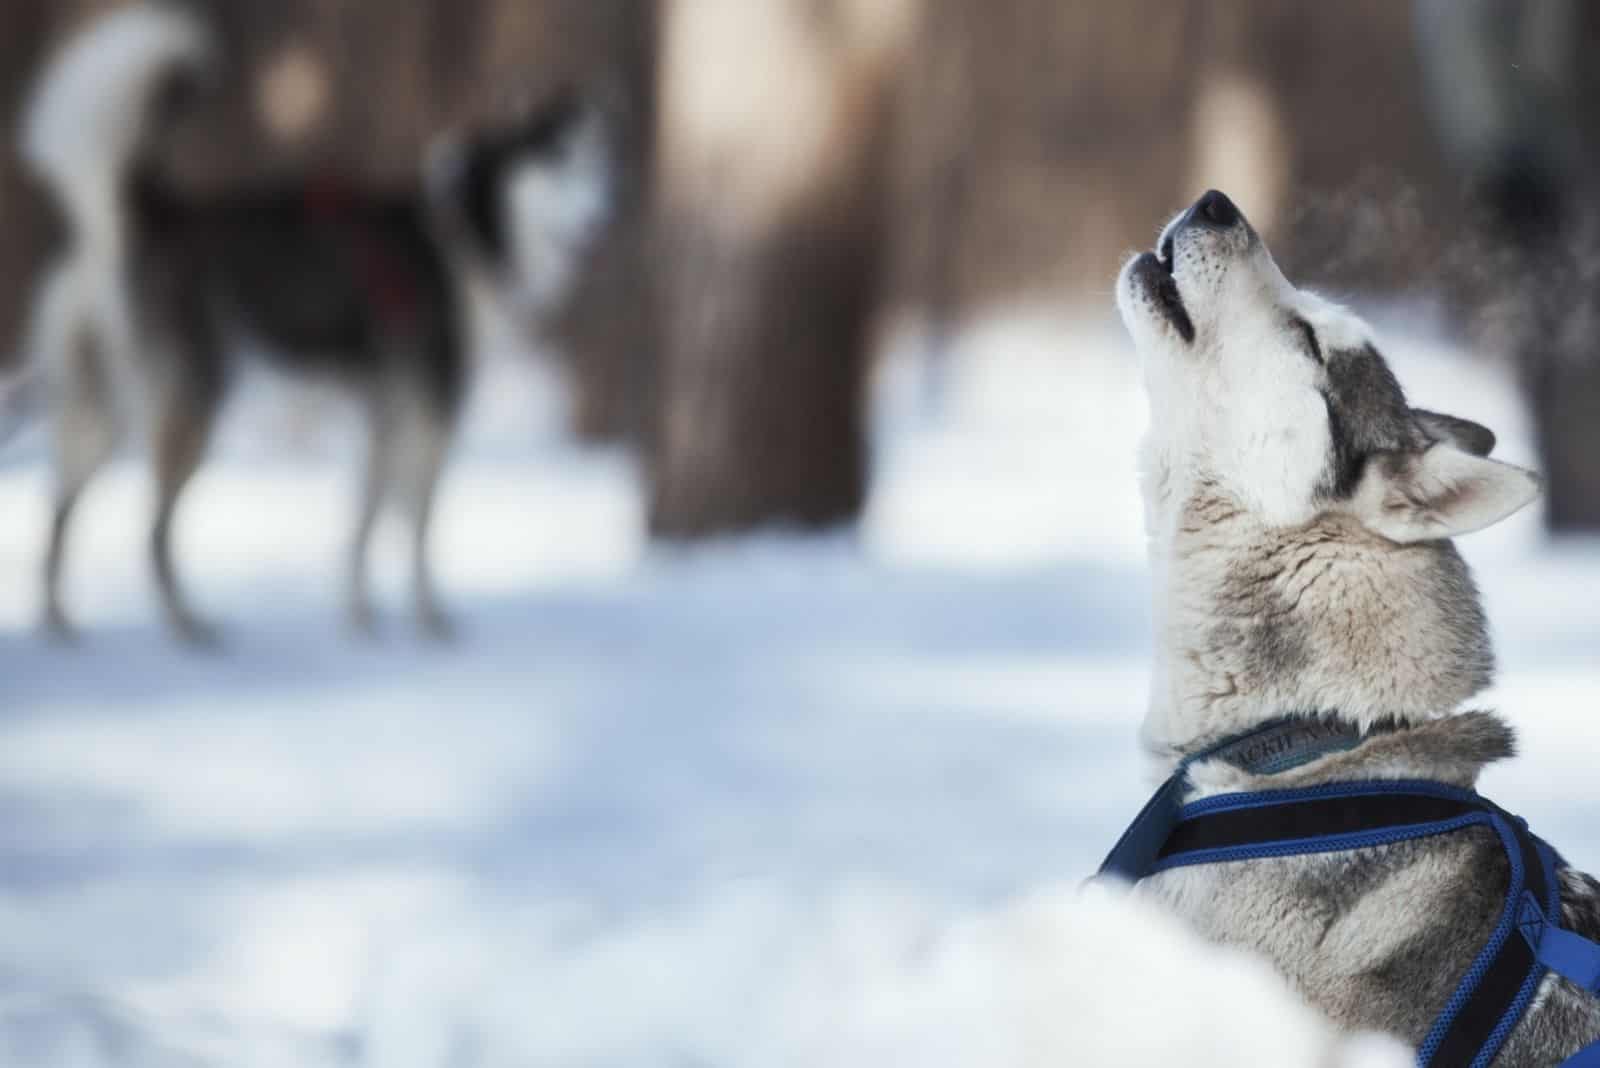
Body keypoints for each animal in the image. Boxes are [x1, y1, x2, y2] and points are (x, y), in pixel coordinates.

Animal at [10, 4, 611, 645]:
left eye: (596, 170)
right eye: (557, 164)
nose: (598, 219)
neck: (463, 230)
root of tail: (151, 216)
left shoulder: (386, 413)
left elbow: (366, 522)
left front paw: (363, 618)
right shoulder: (430, 409)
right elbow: (418, 527)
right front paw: (430, 622)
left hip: (106, 409)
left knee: (59, 510)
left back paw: (60, 624)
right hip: (192, 399)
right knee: (153, 531)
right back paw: (189, 629)